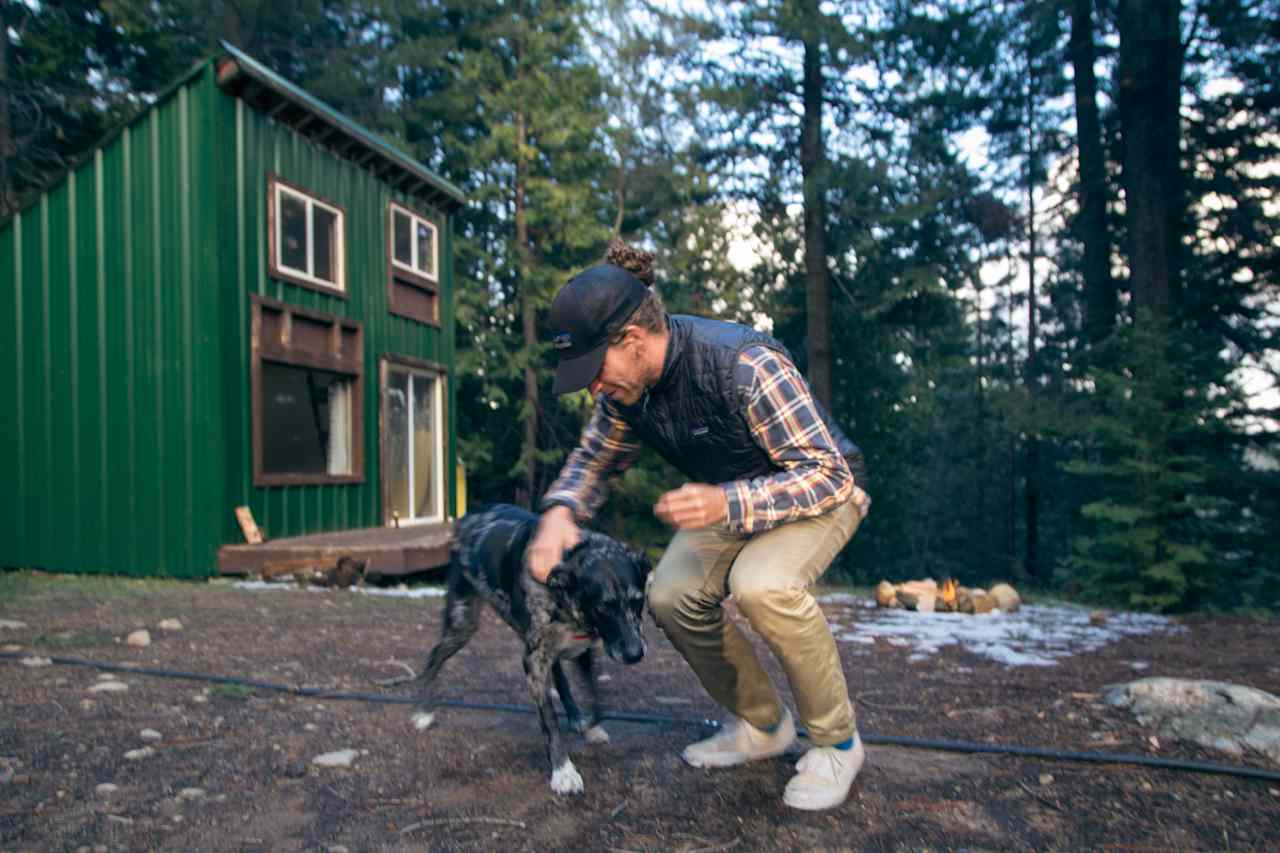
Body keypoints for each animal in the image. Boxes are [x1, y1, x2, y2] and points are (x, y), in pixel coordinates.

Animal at [409, 502, 650, 794]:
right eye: (604, 606)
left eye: (638, 600)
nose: (635, 654)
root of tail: (470, 518)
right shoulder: (533, 663)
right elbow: (550, 721)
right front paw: (563, 770)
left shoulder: (581, 649)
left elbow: (594, 697)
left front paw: (588, 725)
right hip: (461, 624)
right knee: (434, 657)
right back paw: (423, 710)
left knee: (561, 678)